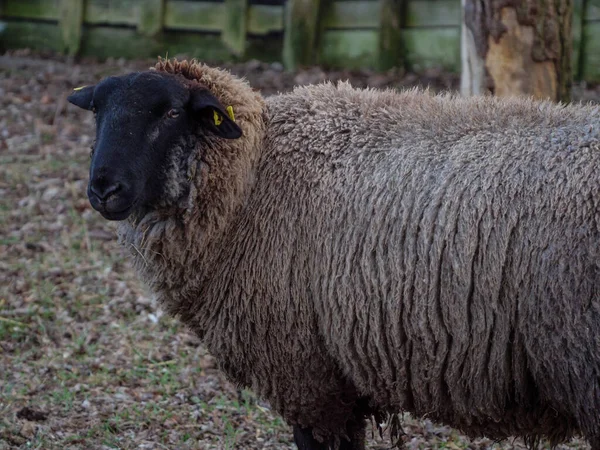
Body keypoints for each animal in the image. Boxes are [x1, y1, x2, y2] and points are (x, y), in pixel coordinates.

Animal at [68, 59, 600, 450]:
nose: (103, 188)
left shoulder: (307, 378)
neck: (253, 178)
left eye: (171, 114)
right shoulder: (337, 382)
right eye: (97, 112)